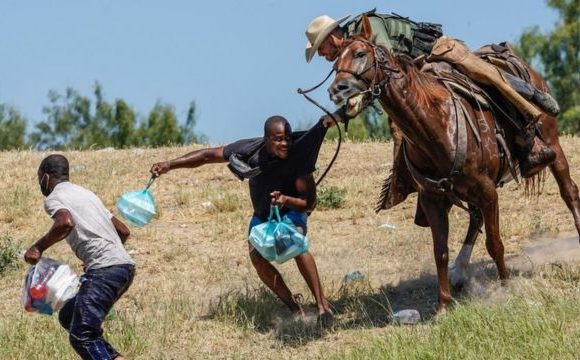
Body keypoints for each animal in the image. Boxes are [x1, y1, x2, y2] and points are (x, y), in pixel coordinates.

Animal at [328, 16, 580, 312]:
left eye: (360, 54)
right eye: (335, 62)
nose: (337, 89)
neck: (435, 125)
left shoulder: (487, 190)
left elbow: (495, 243)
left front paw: (506, 287)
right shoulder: (433, 198)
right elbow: (441, 251)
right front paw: (443, 305)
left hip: (553, 145)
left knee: (569, 191)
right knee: (475, 218)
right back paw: (460, 272)